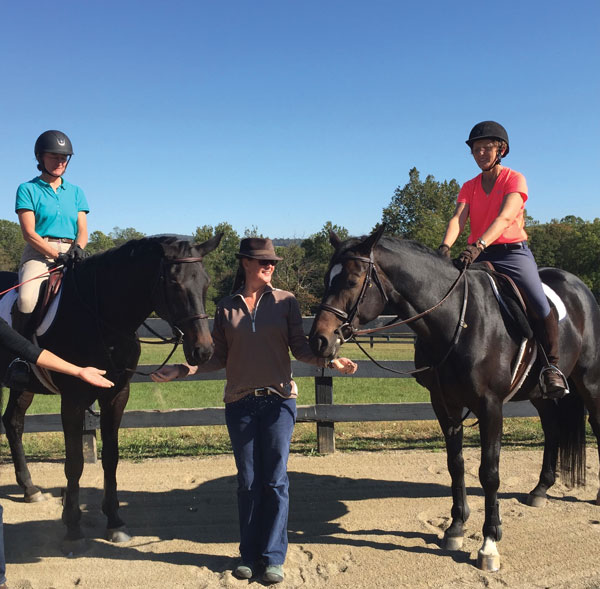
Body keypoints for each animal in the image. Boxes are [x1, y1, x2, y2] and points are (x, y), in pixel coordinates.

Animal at [1, 235, 221, 552]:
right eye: (175, 284)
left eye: (205, 282)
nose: (203, 351)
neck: (100, 316)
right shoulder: (74, 399)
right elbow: (75, 463)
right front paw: (72, 527)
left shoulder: (117, 395)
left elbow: (111, 458)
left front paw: (115, 522)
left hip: (24, 387)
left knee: (13, 423)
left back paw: (30, 489)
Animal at [310, 227, 600, 572]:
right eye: (327, 278)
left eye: (353, 280)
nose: (319, 340)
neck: (458, 320)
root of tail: (579, 286)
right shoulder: (444, 404)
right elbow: (455, 465)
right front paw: (456, 527)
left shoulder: (490, 407)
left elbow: (489, 473)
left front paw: (489, 543)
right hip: (541, 395)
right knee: (552, 430)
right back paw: (541, 489)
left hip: (589, 381)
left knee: (596, 424)